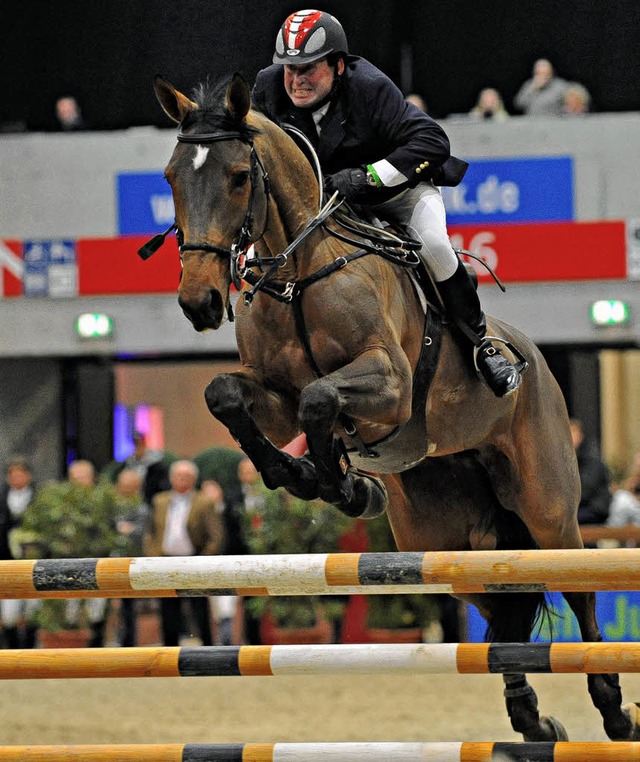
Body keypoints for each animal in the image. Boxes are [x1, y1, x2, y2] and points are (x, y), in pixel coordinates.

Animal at [149, 74, 640, 740]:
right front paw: (308, 477)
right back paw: (530, 719)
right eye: (172, 176)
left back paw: (612, 707)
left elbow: (321, 397)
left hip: (546, 508)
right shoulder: (272, 396)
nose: (198, 301)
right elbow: (230, 395)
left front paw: (338, 482)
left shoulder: (392, 385)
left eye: (239, 176)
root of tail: (533, 357)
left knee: (580, 585)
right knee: (500, 612)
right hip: (446, 538)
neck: (300, 271)